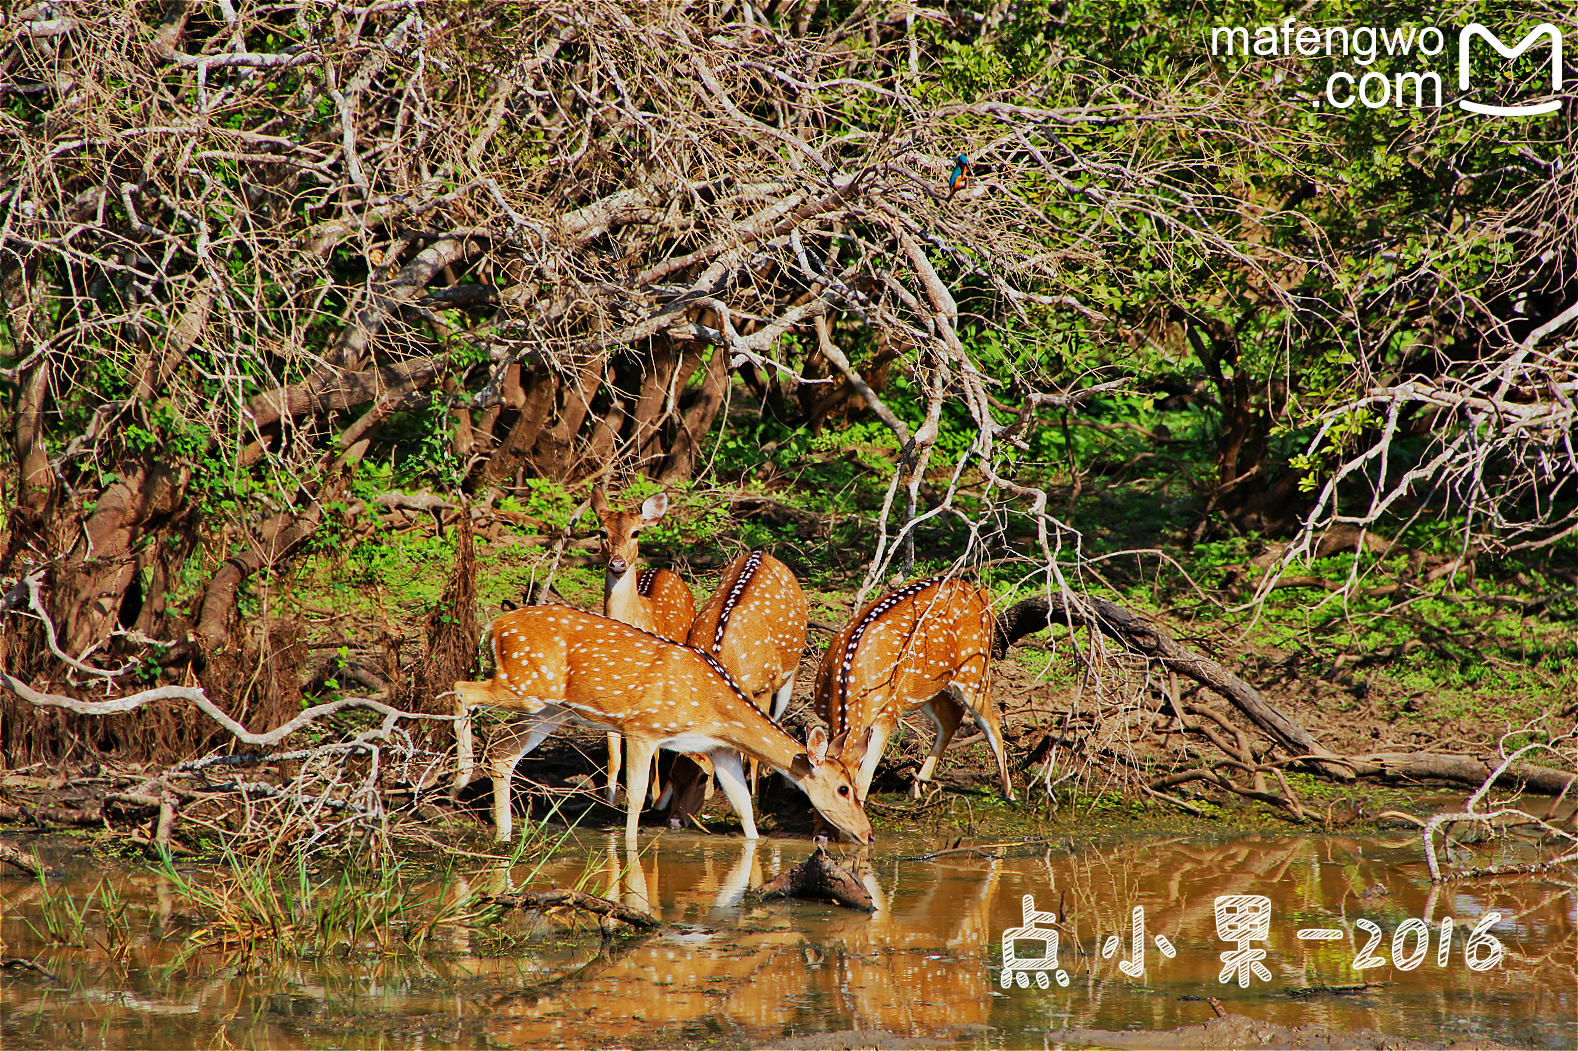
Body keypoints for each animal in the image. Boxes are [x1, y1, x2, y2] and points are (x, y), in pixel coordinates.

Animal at [454, 602, 877, 845]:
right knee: (462, 689)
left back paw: (503, 834)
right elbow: (638, 797)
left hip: (549, 710)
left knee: (504, 751)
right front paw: (628, 854)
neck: (712, 707)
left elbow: (744, 807)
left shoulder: (720, 749)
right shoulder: (643, 728)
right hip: (525, 684)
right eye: (843, 789)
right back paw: (460, 778)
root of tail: (494, 626)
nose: (868, 834)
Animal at [590, 486, 694, 798]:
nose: (618, 563)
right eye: (601, 532)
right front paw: (609, 798)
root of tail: (666, 570)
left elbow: (654, 754)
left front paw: (654, 795)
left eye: (636, 532)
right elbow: (614, 753)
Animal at [807, 574, 1016, 801]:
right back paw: (916, 786)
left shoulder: (887, 713)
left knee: (993, 725)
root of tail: (981, 593)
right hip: (926, 685)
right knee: (951, 715)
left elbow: (863, 780)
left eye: (843, 790)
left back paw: (1010, 795)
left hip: (975, 668)